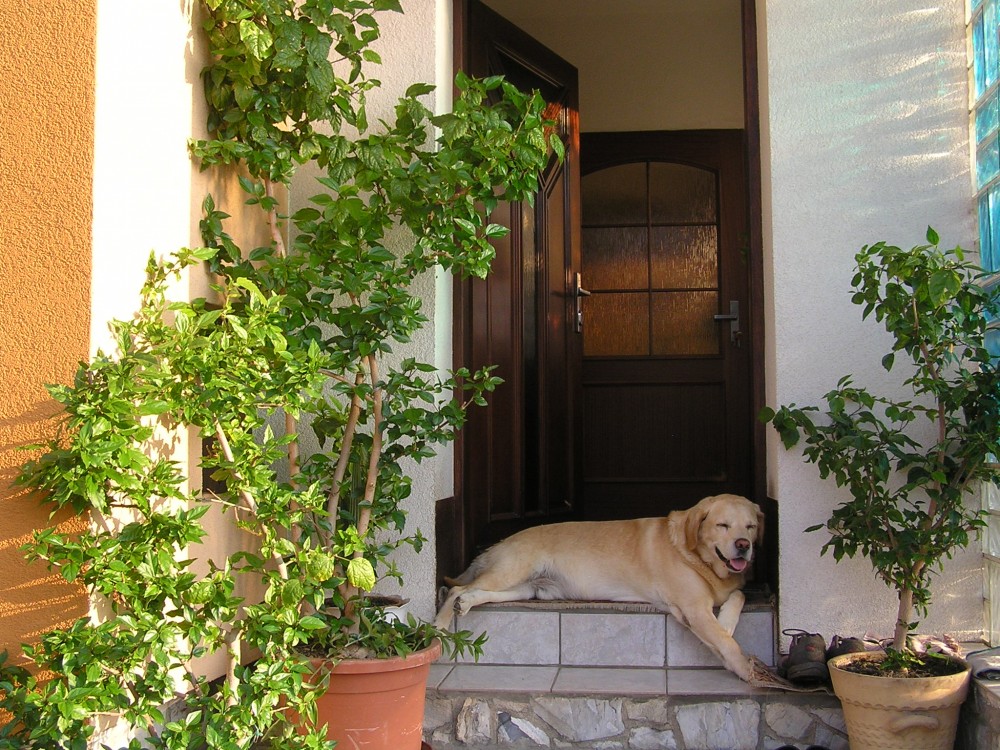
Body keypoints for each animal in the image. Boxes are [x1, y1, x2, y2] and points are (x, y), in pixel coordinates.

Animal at [433, 493, 764, 681]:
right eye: (722, 525)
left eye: (750, 527)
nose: (743, 546)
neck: (699, 557)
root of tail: (499, 543)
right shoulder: (693, 609)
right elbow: (727, 644)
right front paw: (745, 669)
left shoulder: (725, 591)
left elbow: (738, 596)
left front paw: (726, 622)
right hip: (511, 571)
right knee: (455, 591)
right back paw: (438, 628)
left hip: (528, 589)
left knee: (475, 592)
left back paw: (468, 603)